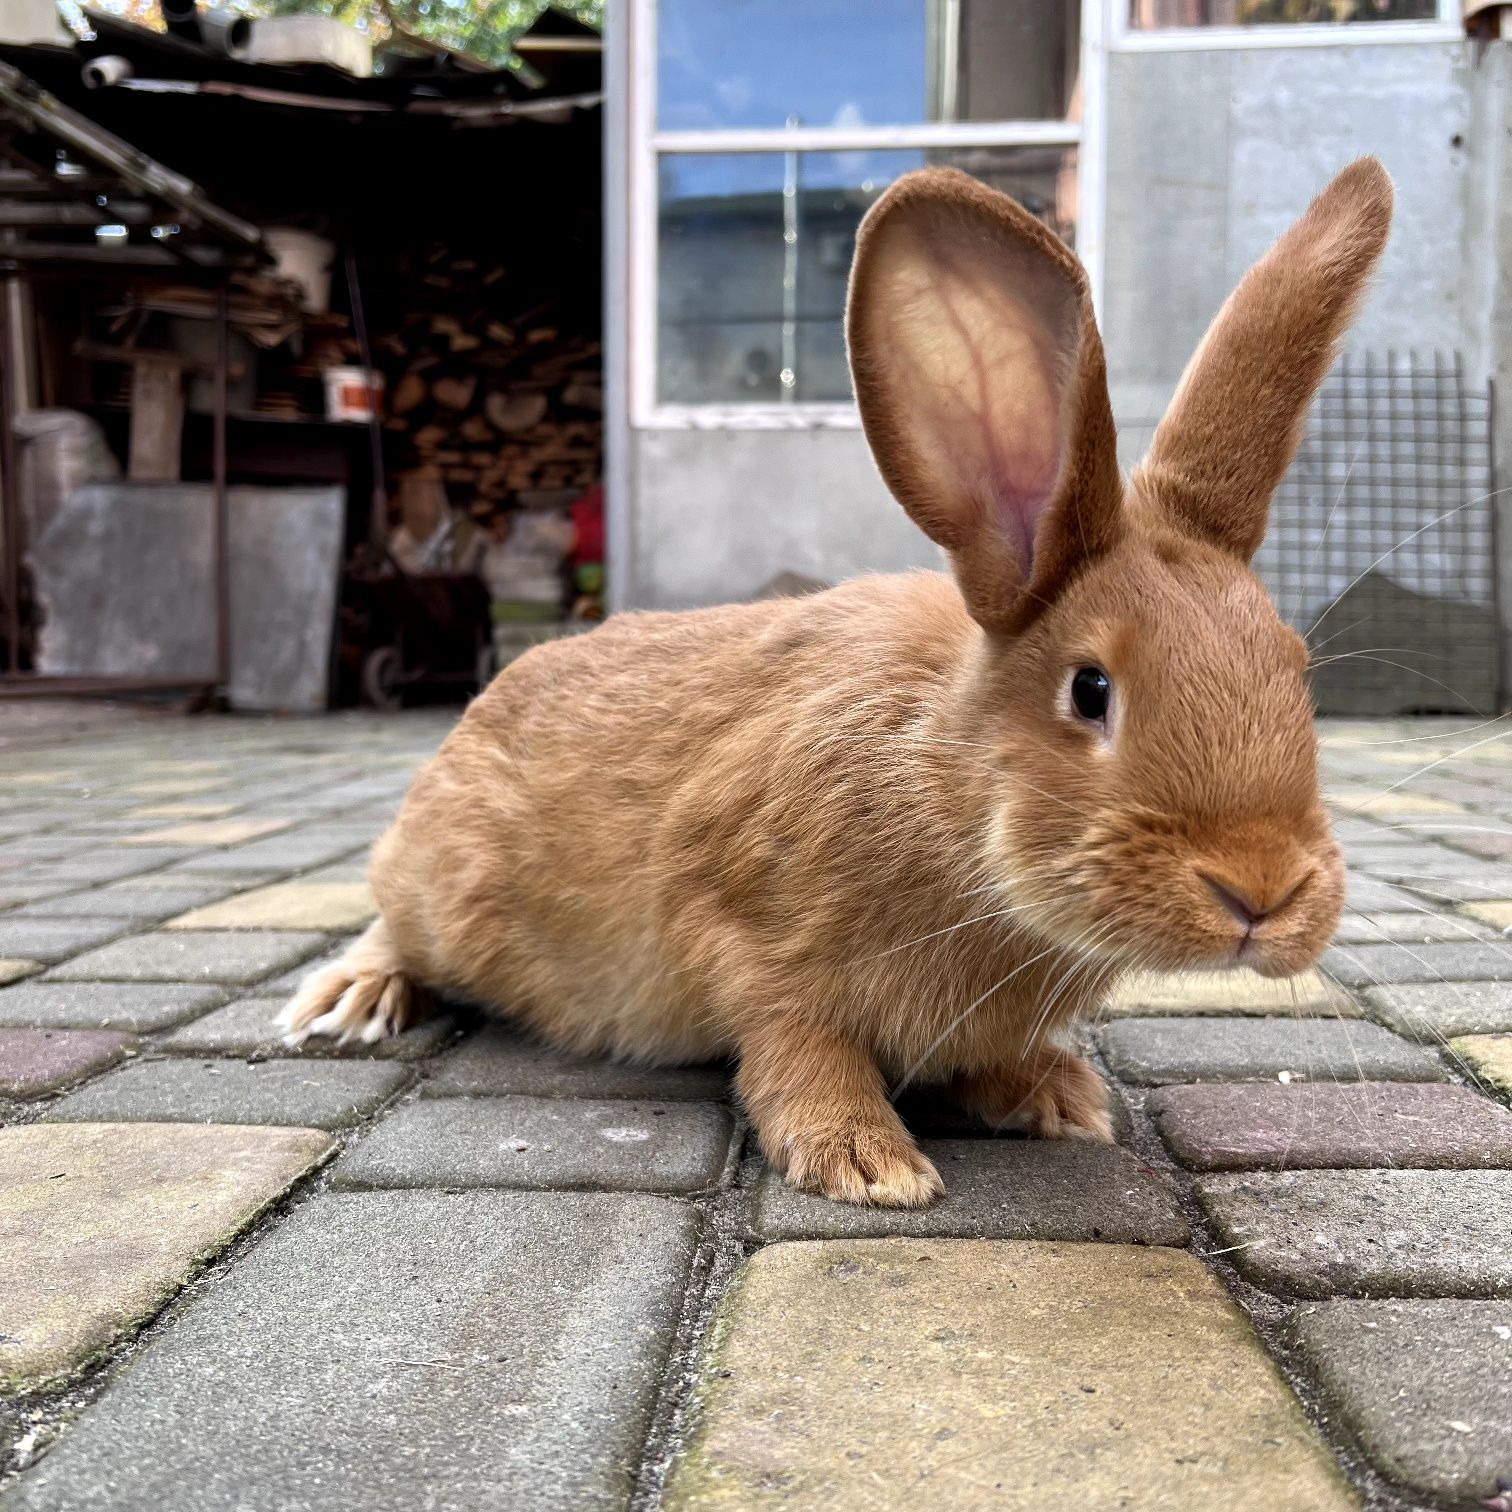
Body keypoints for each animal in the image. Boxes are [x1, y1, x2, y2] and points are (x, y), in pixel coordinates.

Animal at [278, 159, 1384, 1209]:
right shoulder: (744, 933)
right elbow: (795, 1045)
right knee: (392, 921)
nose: (1263, 890)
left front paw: (1057, 1097)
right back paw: (346, 1004)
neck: (945, 788)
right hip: (448, 899)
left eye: (1294, 669)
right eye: (1091, 689)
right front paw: (864, 1160)